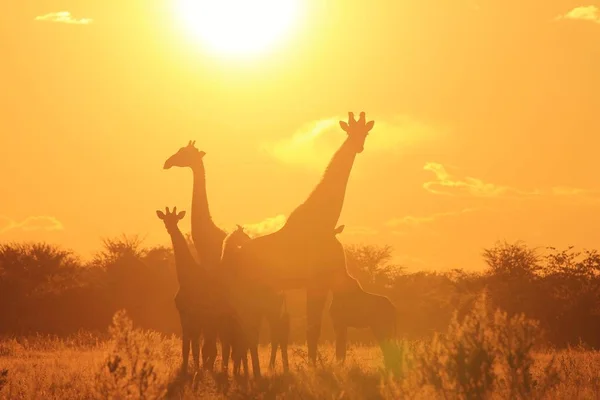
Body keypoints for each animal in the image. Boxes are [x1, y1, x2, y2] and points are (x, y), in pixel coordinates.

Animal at [157, 208, 206, 374]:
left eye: (176, 220)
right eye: (165, 220)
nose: (170, 229)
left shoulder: (195, 315)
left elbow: (194, 344)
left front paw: (195, 370)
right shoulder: (183, 315)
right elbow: (186, 345)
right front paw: (185, 369)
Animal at [230, 113, 376, 378]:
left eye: (366, 132)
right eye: (349, 131)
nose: (358, 147)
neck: (325, 220)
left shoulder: (319, 282)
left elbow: (313, 327)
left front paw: (313, 366)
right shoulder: (317, 282)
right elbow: (313, 328)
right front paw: (312, 368)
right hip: (248, 291)